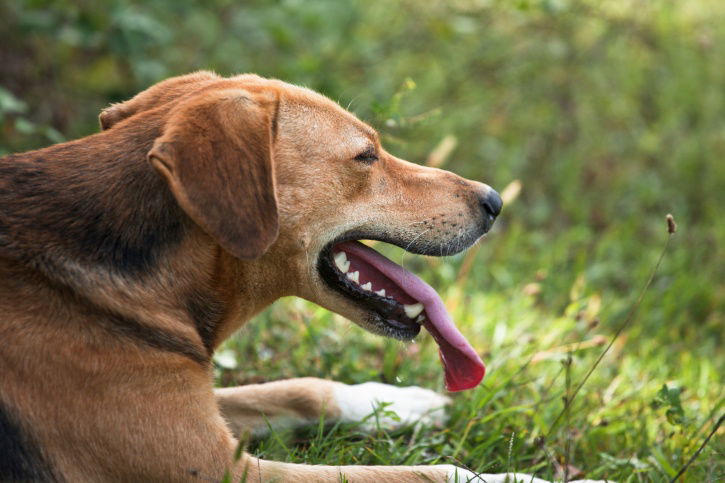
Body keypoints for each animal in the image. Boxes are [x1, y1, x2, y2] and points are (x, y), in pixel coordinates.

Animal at [1, 72, 600, 483]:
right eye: (366, 156)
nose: (495, 202)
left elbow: (300, 389)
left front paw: (398, 404)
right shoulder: (226, 469)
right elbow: (421, 473)